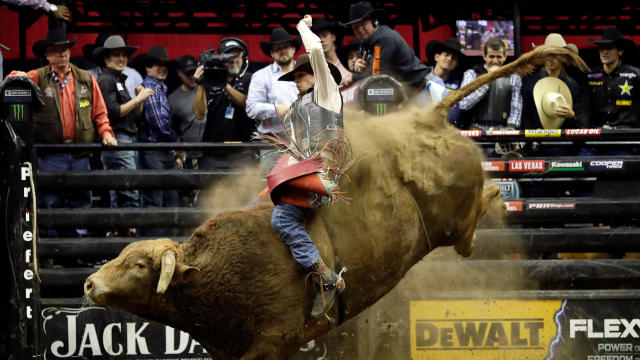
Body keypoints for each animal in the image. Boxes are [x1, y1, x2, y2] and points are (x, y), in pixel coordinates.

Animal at [85, 46, 592, 358]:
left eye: (139, 266)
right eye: (124, 257)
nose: (90, 284)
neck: (211, 272)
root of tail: (426, 116)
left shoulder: (272, 341)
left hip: (454, 217)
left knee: (476, 213)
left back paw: (499, 202)